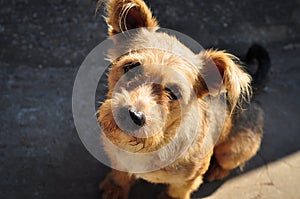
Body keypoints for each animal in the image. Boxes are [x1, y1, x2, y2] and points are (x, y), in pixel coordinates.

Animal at [97, 0, 270, 198]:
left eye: (174, 93)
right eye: (131, 67)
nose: (133, 116)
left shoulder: (190, 179)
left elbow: (177, 191)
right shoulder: (118, 159)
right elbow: (120, 173)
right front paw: (116, 187)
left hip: (232, 152)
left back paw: (217, 170)